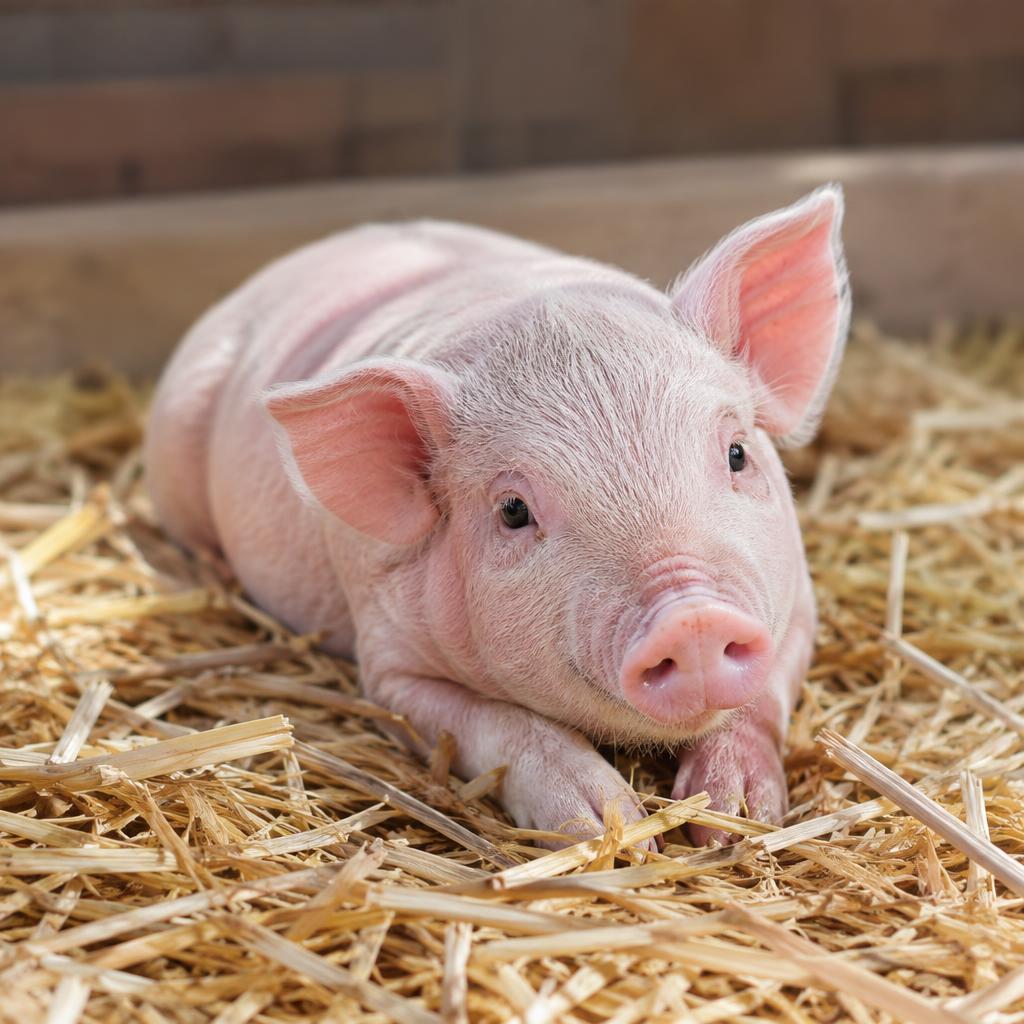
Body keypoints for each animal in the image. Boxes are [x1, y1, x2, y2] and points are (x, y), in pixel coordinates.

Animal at [145, 186, 849, 847]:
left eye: (737, 453)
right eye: (513, 510)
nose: (694, 618)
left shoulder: (800, 602)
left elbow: (762, 699)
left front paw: (740, 821)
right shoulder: (390, 666)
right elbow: (504, 725)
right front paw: (611, 827)